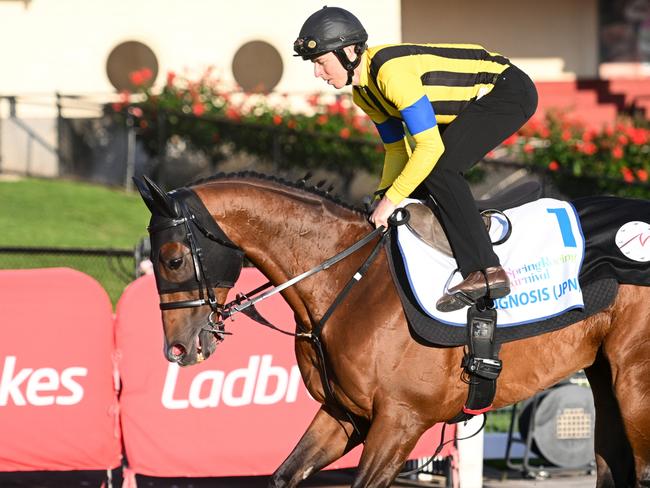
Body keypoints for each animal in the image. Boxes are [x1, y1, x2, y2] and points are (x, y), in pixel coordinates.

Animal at [134, 173, 644, 488]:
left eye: (173, 259)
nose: (178, 348)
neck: (347, 278)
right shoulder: (345, 414)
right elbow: (284, 473)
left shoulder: (401, 421)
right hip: (605, 382)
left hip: (634, 387)